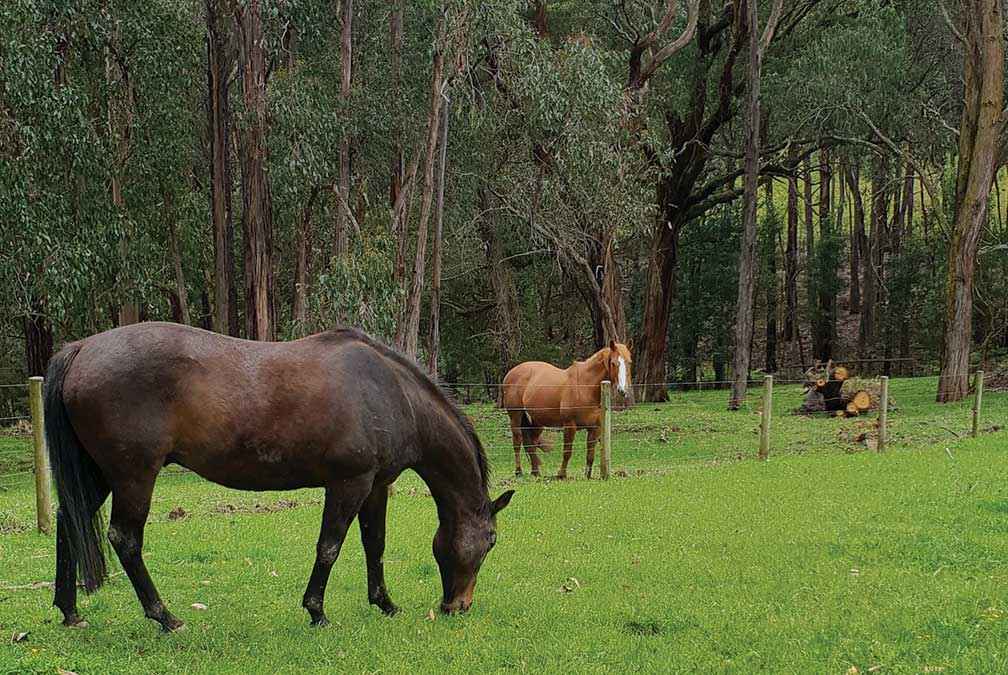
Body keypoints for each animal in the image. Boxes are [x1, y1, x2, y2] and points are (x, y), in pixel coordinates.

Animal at [44, 322, 514, 632]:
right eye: (491, 541)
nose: (458, 606)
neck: (390, 393)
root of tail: (81, 348)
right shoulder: (349, 483)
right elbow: (330, 547)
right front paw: (316, 611)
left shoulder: (376, 485)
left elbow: (374, 545)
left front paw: (385, 603)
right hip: (133, 476)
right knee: (125, 539)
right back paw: (166, 617)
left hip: (100, 475)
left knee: (69, 523)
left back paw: (70, 611)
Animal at [501, 341, 632, 479]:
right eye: (613, 363)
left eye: (629, 362)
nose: (623, 390)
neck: (585, 387)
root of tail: (511, 373)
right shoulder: (570, 425)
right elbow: (567, 452)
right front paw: (562, 474)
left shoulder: (594, 428)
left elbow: (590, 454)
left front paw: (587, 475)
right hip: (516, 416)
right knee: (517, 442)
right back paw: (518, 472)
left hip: (536, 422)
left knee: (531, 444)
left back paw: (536, 472)